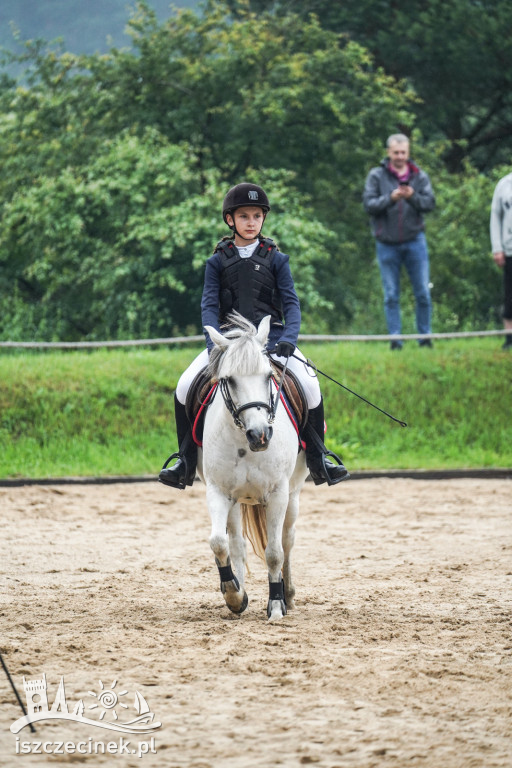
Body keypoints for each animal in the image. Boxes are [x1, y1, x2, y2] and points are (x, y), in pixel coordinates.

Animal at [197, 316, 308, 620]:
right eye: (229, 380)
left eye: (269, 376)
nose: (259, 435)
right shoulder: (218, 492)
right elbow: (218, 543)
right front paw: (234, 596)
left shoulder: (278, 494)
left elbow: (274, 552)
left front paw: (276, 605)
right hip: (236, 501)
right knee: (236, 544)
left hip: (293, 494)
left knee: (287, 540)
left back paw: (288, 594)